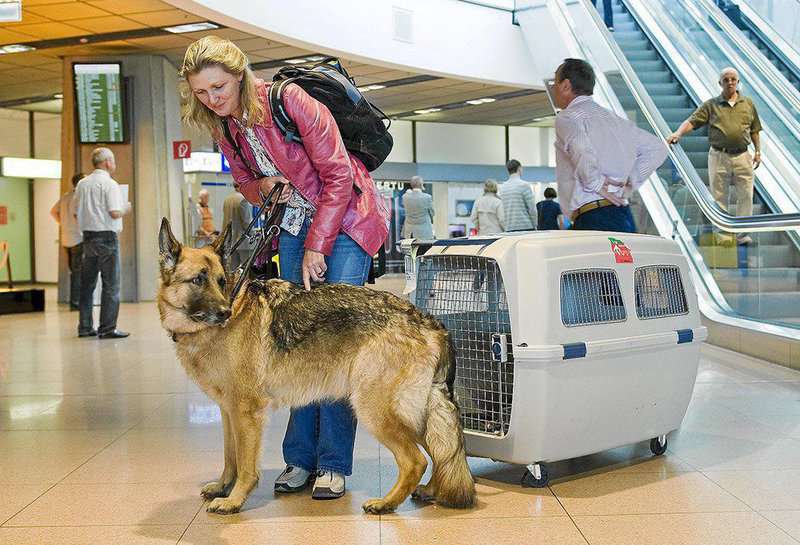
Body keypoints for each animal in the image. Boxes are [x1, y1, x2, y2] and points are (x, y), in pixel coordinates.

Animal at [158, 218, 476, 516]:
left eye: (221, 281)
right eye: (198, 280)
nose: (224, 313)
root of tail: (428, 321)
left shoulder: (246, 413)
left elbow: (246, 466)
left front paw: (234, 500)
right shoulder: (228, 412)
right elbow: (230, 458)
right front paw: (223, 486)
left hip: (373, 410)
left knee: (416, 460)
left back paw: (386, 503)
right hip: (414, 413)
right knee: (442, 451)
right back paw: (431, 490)